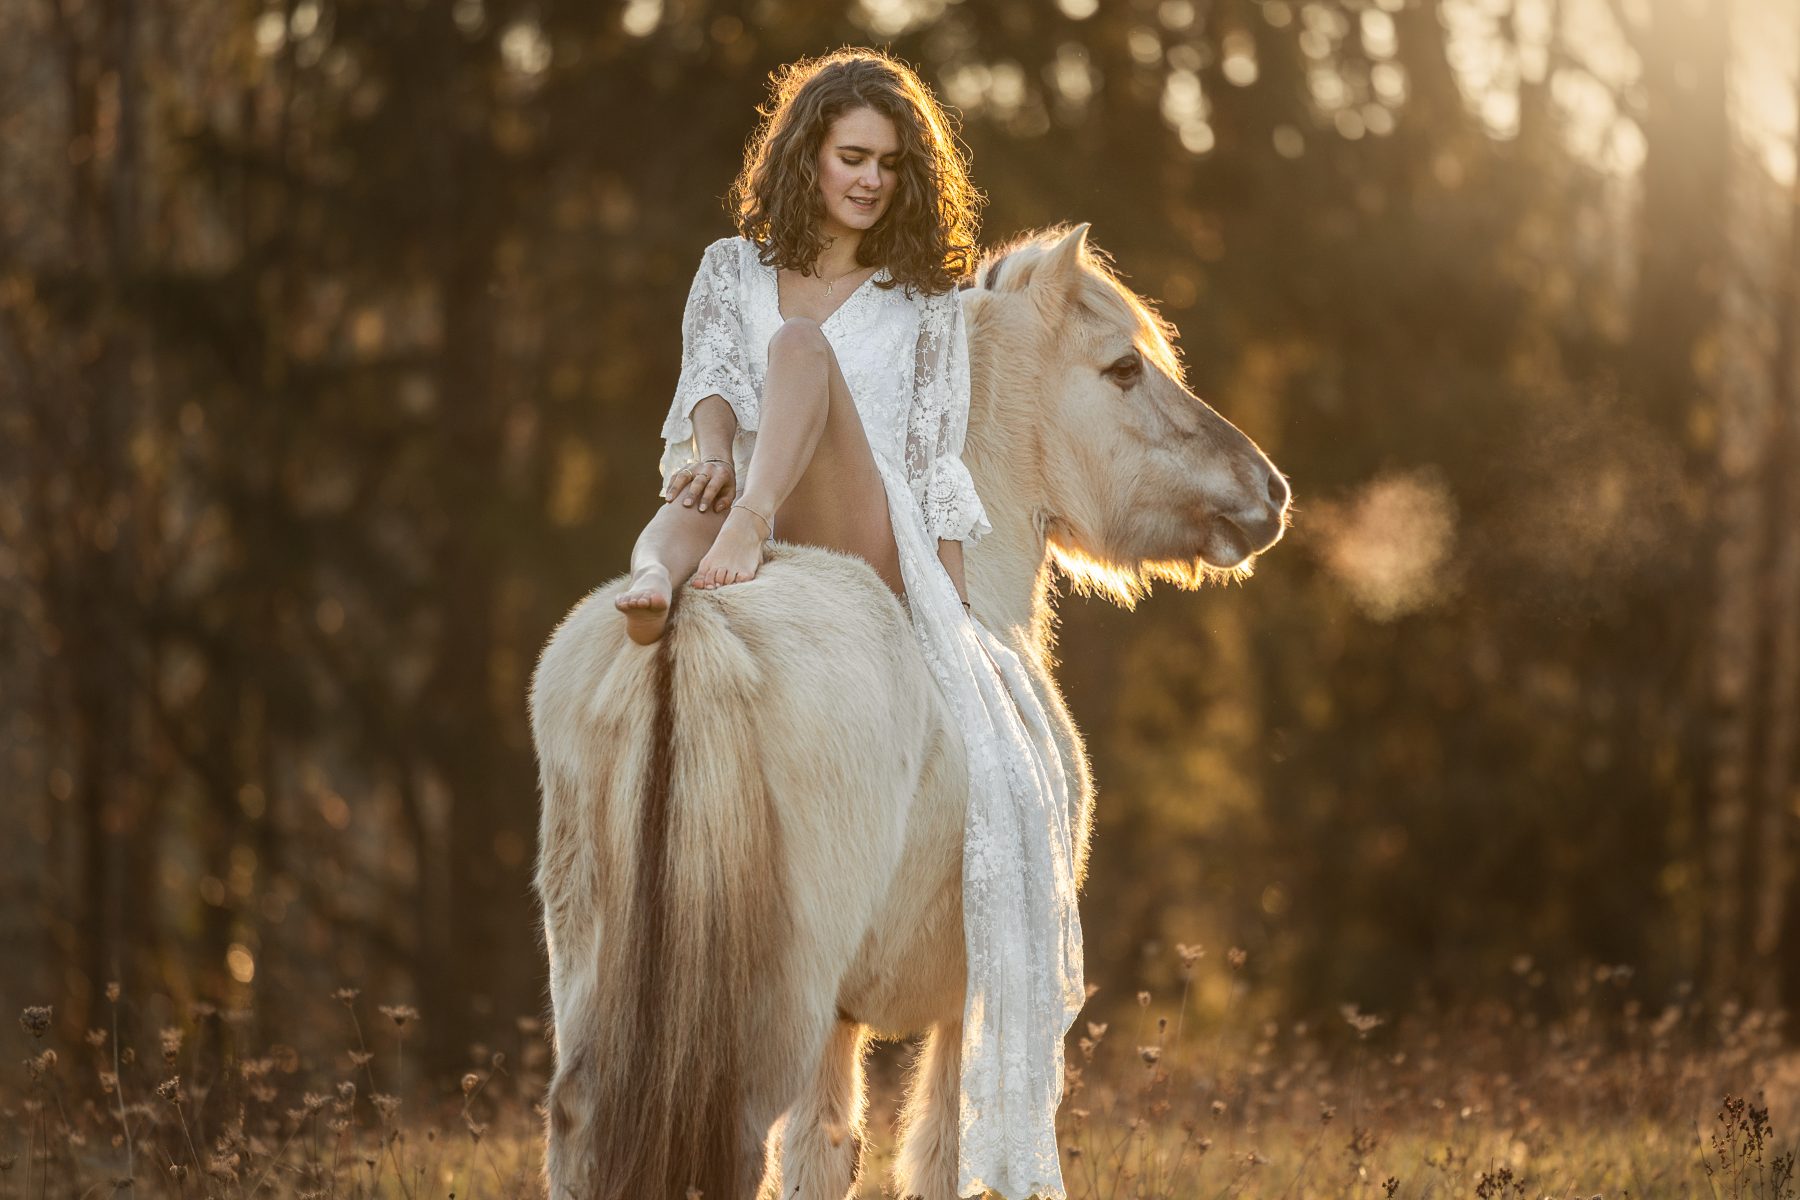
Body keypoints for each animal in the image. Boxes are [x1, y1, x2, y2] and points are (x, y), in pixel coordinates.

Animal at [529, 223, 1290, 1200]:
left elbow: (826, 1155)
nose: (1266, 490)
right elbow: (932, 1156)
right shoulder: (971, 1005)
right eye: (1124, 368)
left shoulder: (846, 1023)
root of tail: (692, 622)